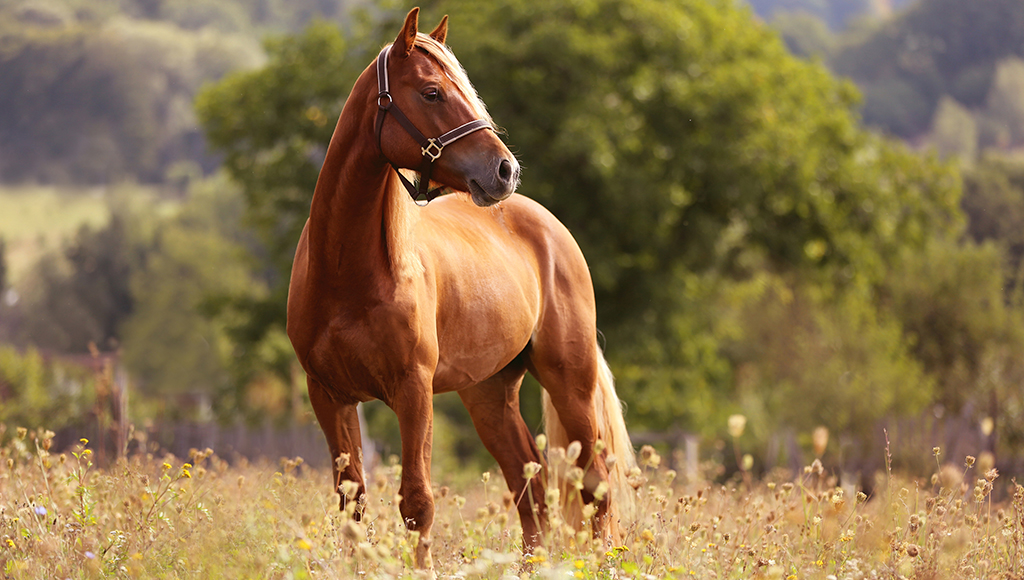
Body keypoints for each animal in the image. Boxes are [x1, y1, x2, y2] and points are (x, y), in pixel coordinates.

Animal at [286, 8, 636, 569]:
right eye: (431, 92)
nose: (505, 170)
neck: (348, 274)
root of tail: (549, 226)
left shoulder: (413, 390)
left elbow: (417, 501)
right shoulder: (329, 395)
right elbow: (352, 504)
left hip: (570, 382)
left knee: (593, 484)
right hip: (489, 393)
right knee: (530, 486)